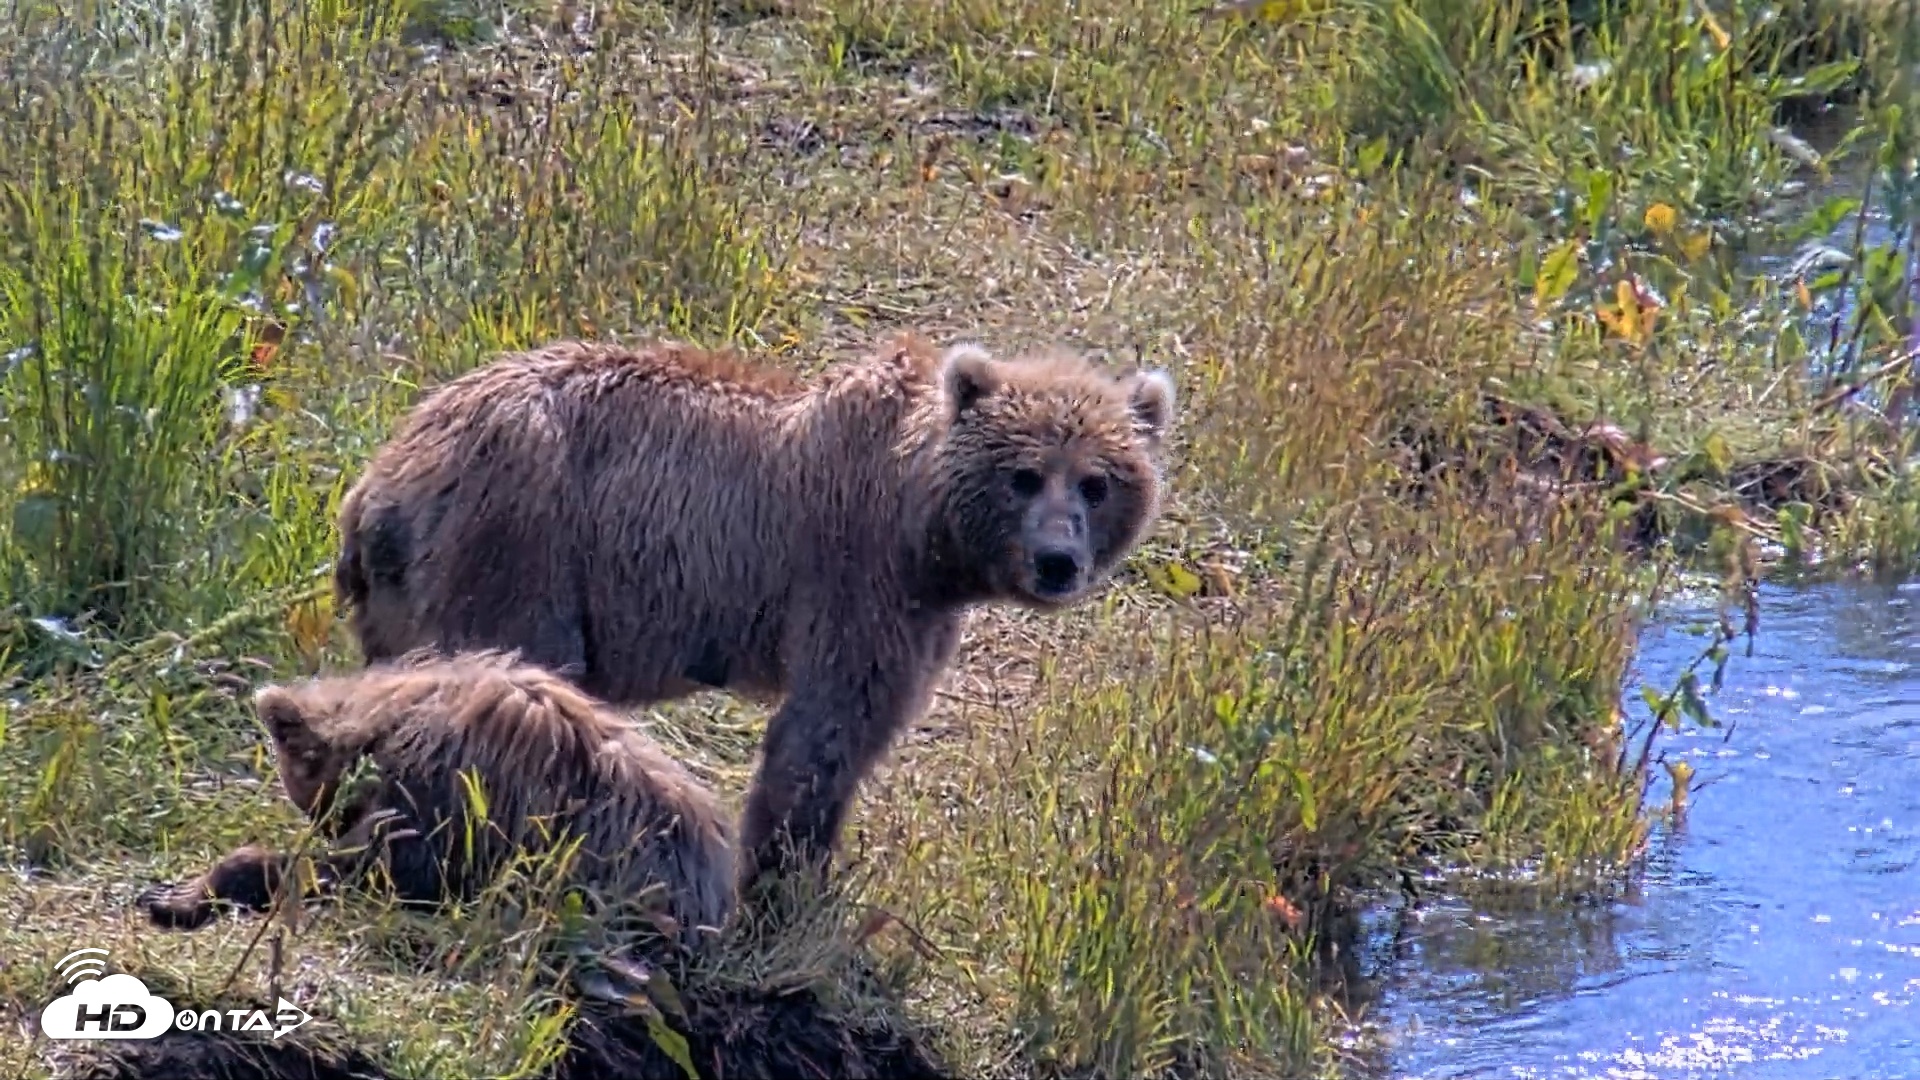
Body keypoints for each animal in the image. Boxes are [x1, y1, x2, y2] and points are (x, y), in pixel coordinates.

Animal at [330, 331, 1179, 893]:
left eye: (1098, 482)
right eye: (1025, 476)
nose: (1058, 561)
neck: (926, 532)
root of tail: (381, 481)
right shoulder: (856, 578)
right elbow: (828, 731)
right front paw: (787, 886)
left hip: (412, 594)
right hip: (519, 542)